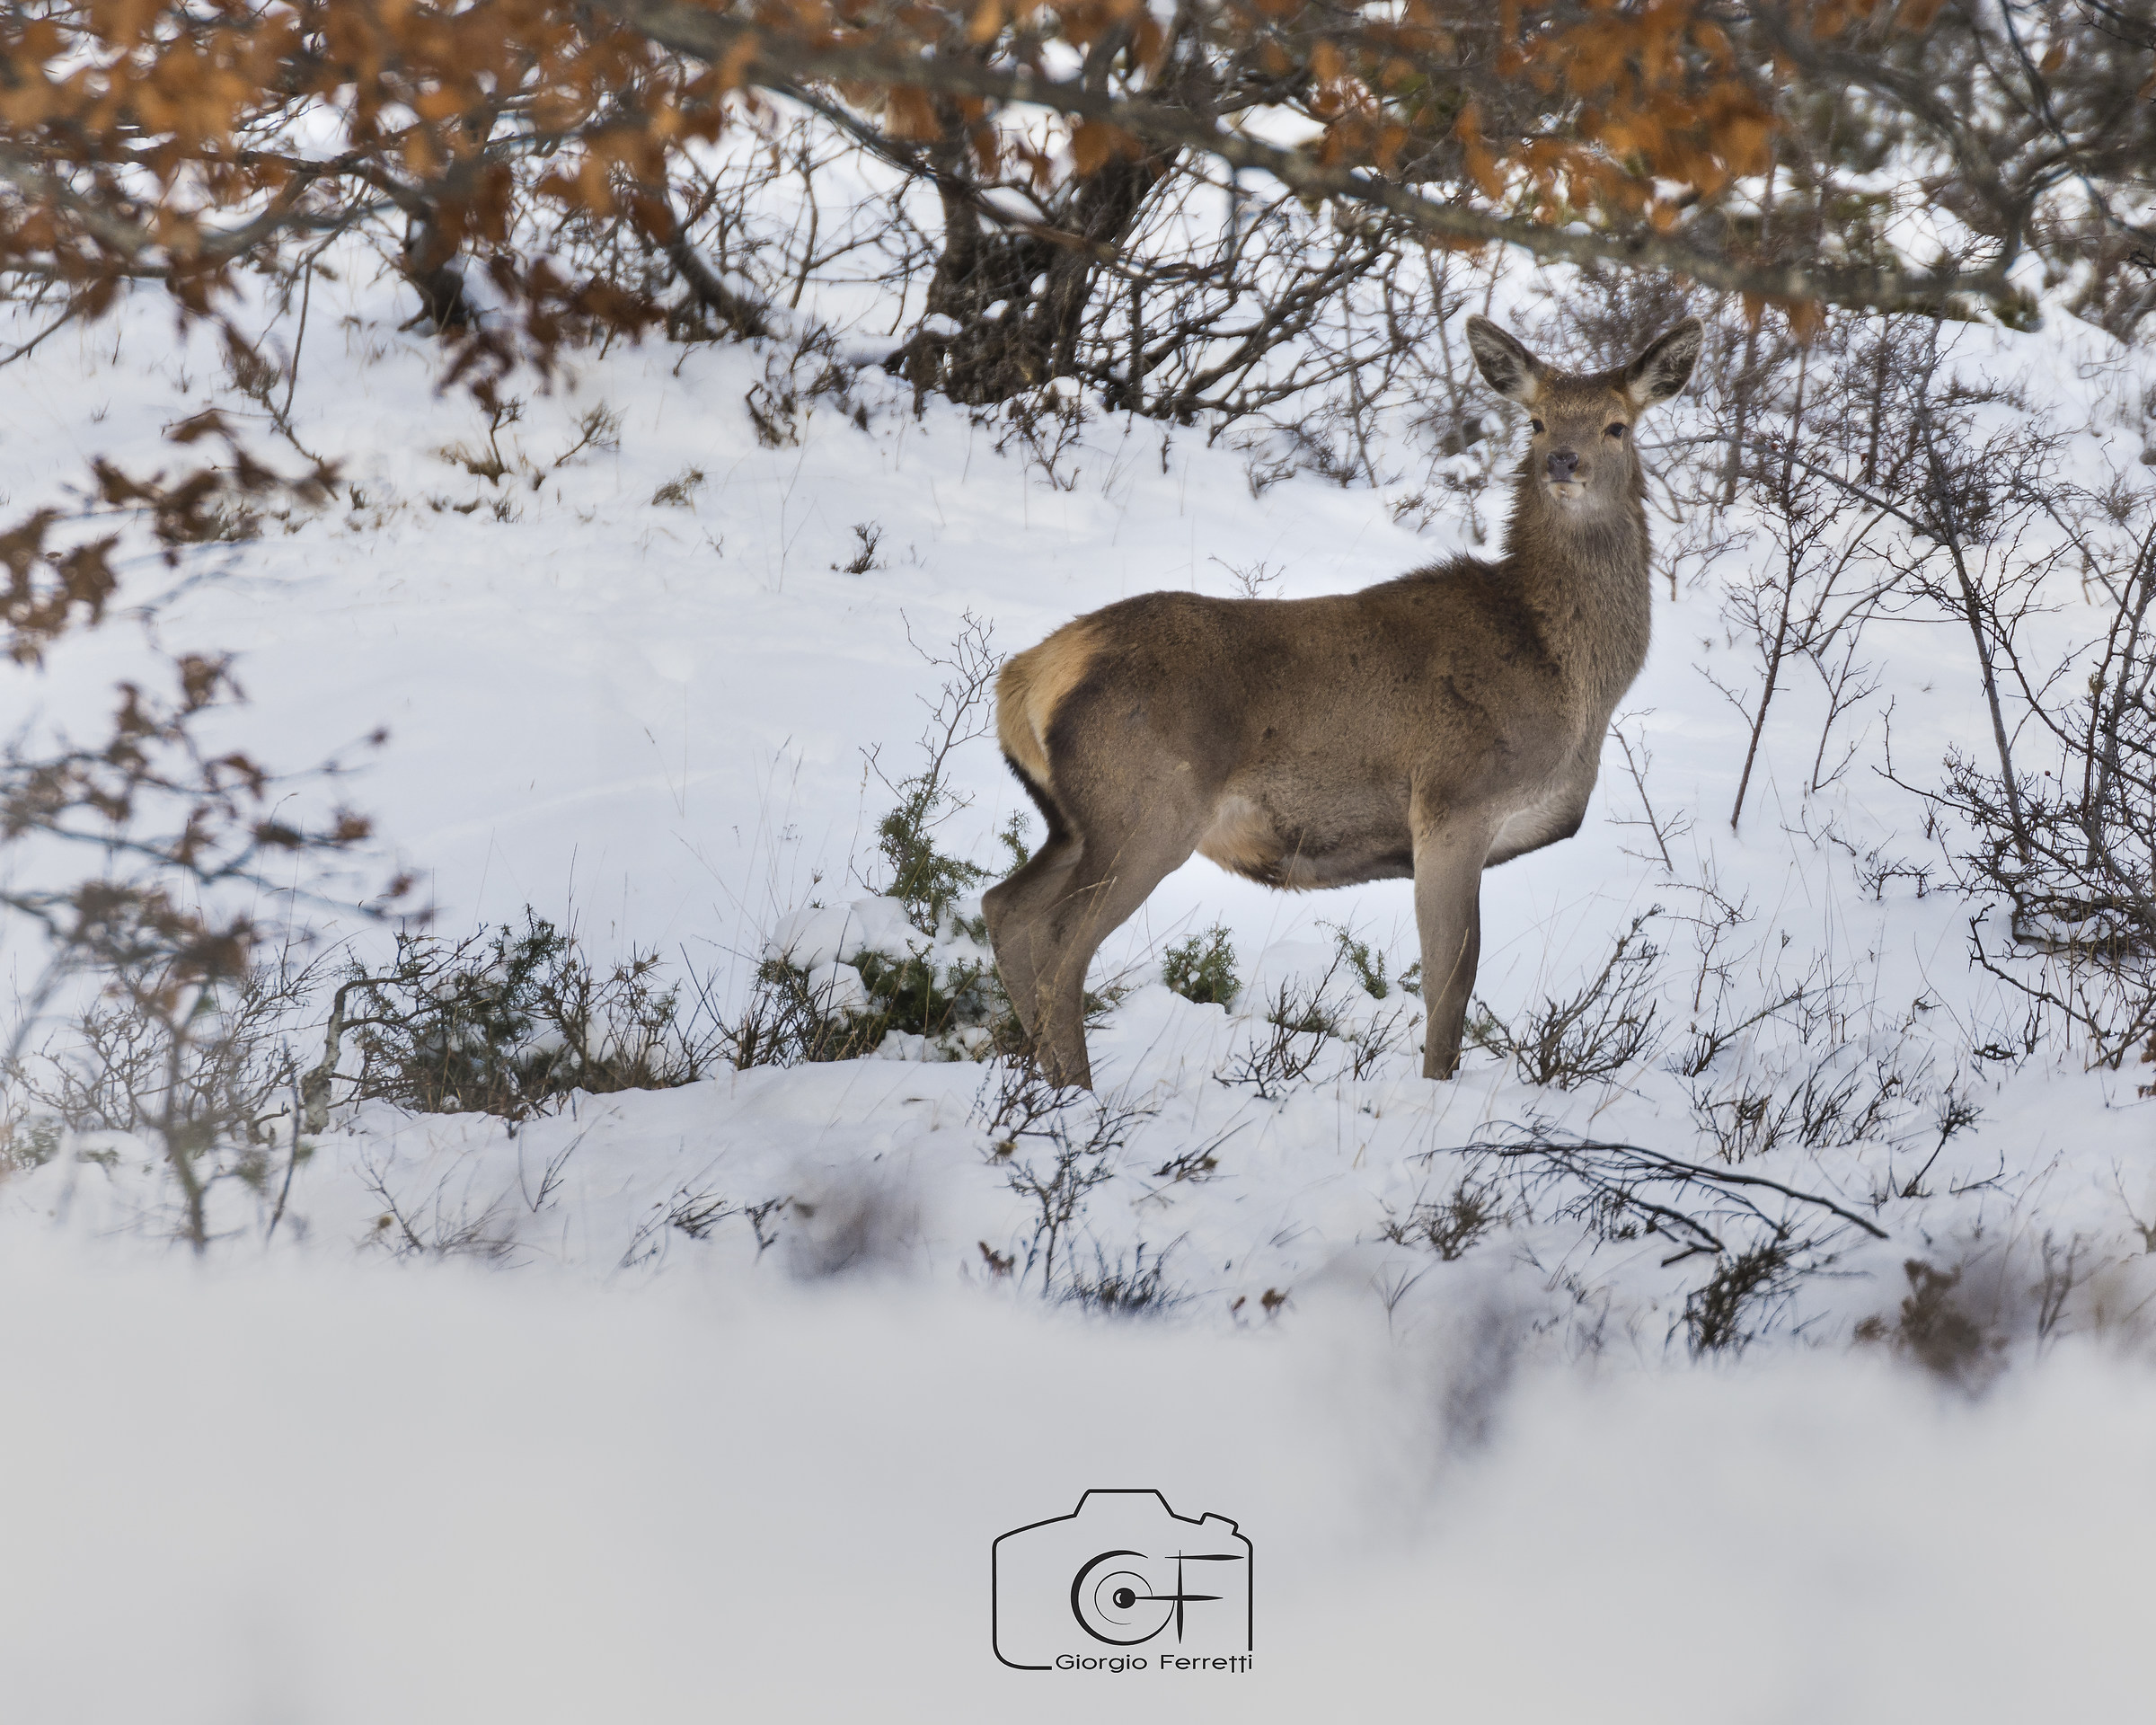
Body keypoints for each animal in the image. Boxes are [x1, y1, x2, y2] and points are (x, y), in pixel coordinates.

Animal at [981, 313, 1703, 1089]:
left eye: (1617, 426)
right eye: (1536, 421)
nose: (1563, 461)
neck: (1565, 676)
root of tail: (1028, 673)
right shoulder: (1453, 802)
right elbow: (1451, 981)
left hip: (1075, 819)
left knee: (1005, 908)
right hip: (1146, 808)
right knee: (1060, 941)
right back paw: (1079, 1096)